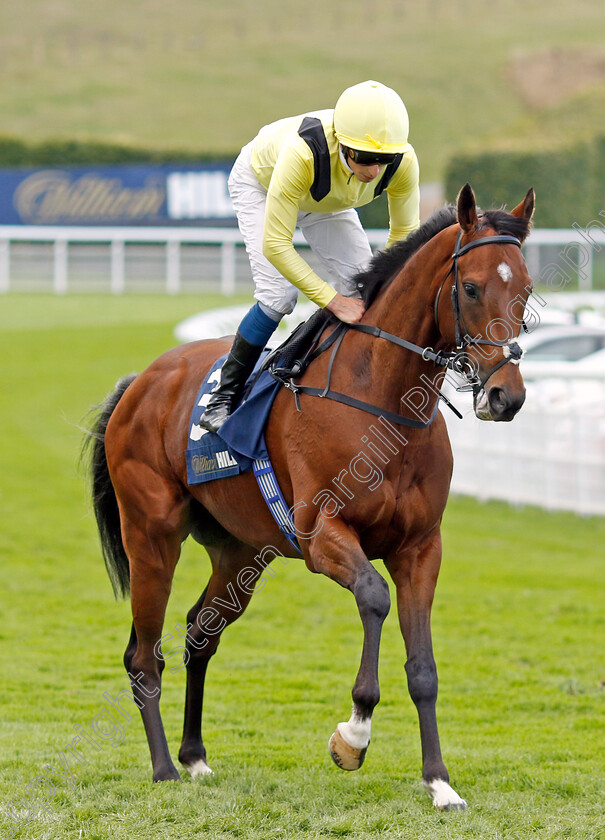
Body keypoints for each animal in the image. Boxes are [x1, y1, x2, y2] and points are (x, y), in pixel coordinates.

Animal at [82, 182, 532, 808]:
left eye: (527, 289)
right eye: (470, 287)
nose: (505, 397)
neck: (381, 401)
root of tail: (139, 382)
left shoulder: (421, 547)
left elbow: (424, 668)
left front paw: (440, 782)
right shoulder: (322, 535)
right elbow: (373, 597)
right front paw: (354, 735)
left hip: (241, 552)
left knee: (200, 632)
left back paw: (194, 757)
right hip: (151, 535)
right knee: (144, 654)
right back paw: (164, 768)